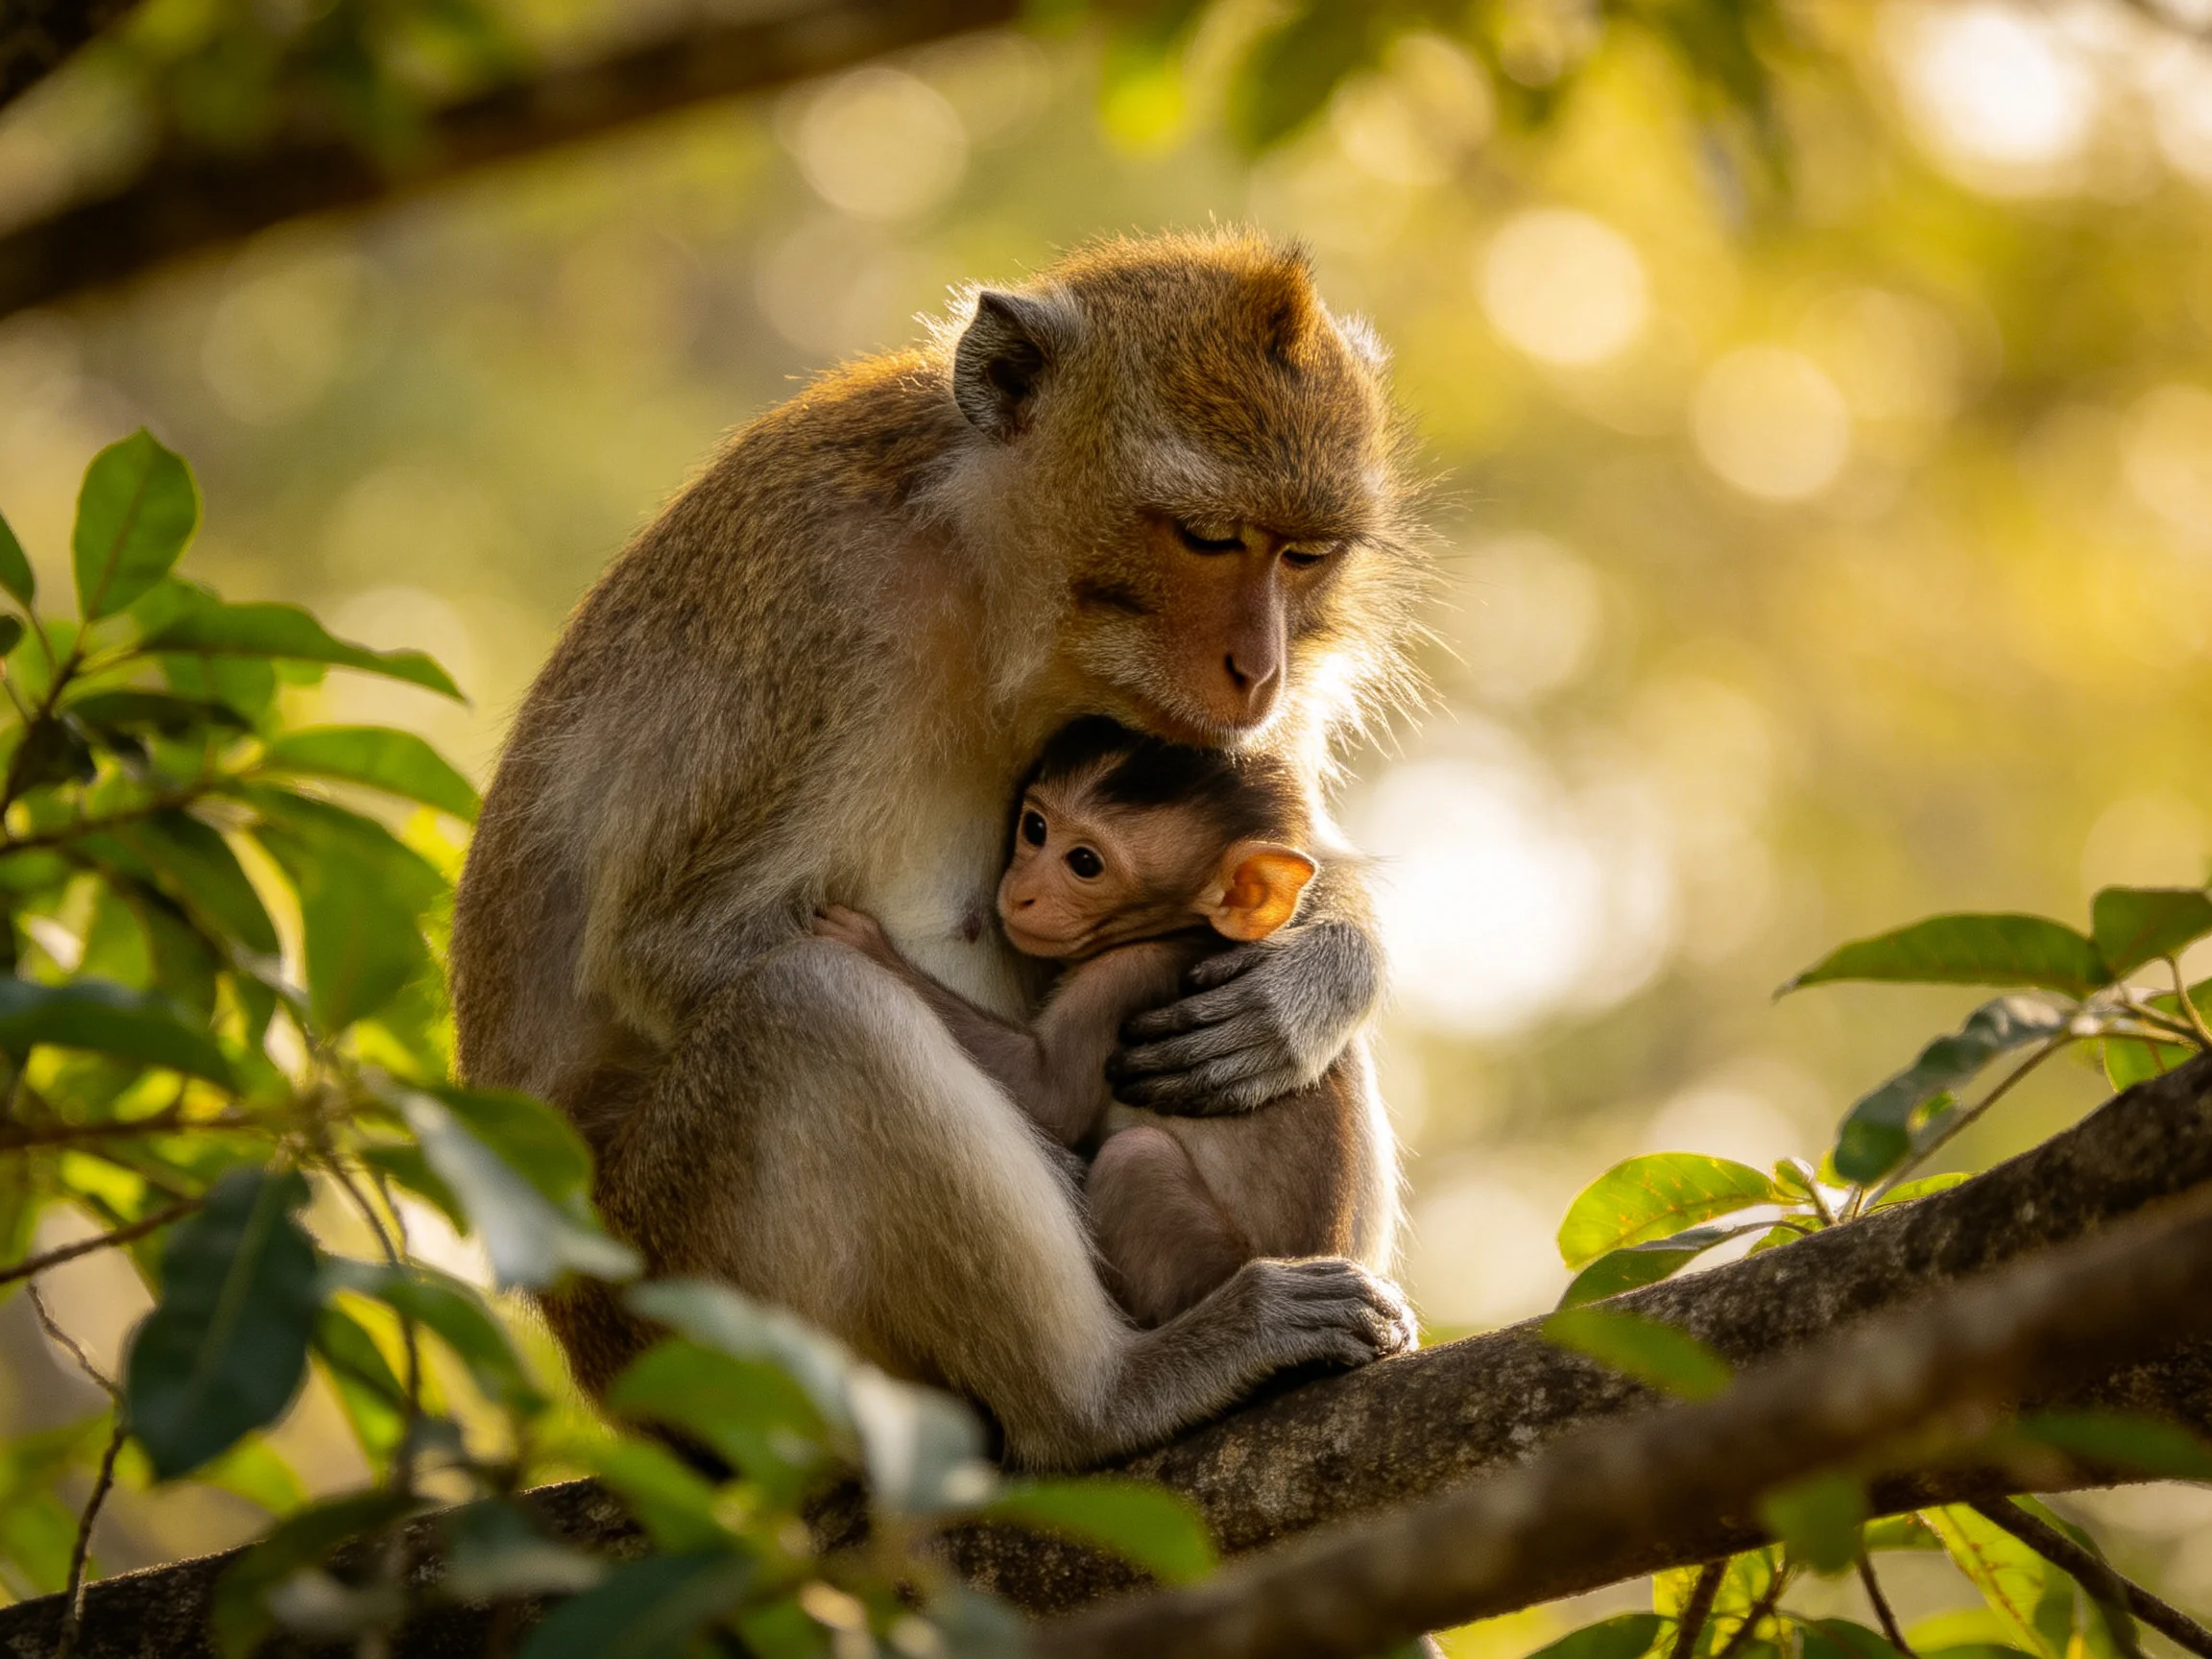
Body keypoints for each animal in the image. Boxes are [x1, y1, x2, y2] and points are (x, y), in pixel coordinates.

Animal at [811, 715, 1392, 1329]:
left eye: (1085, 863)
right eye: (1036, 828)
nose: (1023, 895)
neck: (1181, 929)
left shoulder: (1125, 977)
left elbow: (1051, 1093)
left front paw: (865, 943)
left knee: (1135, 1157)